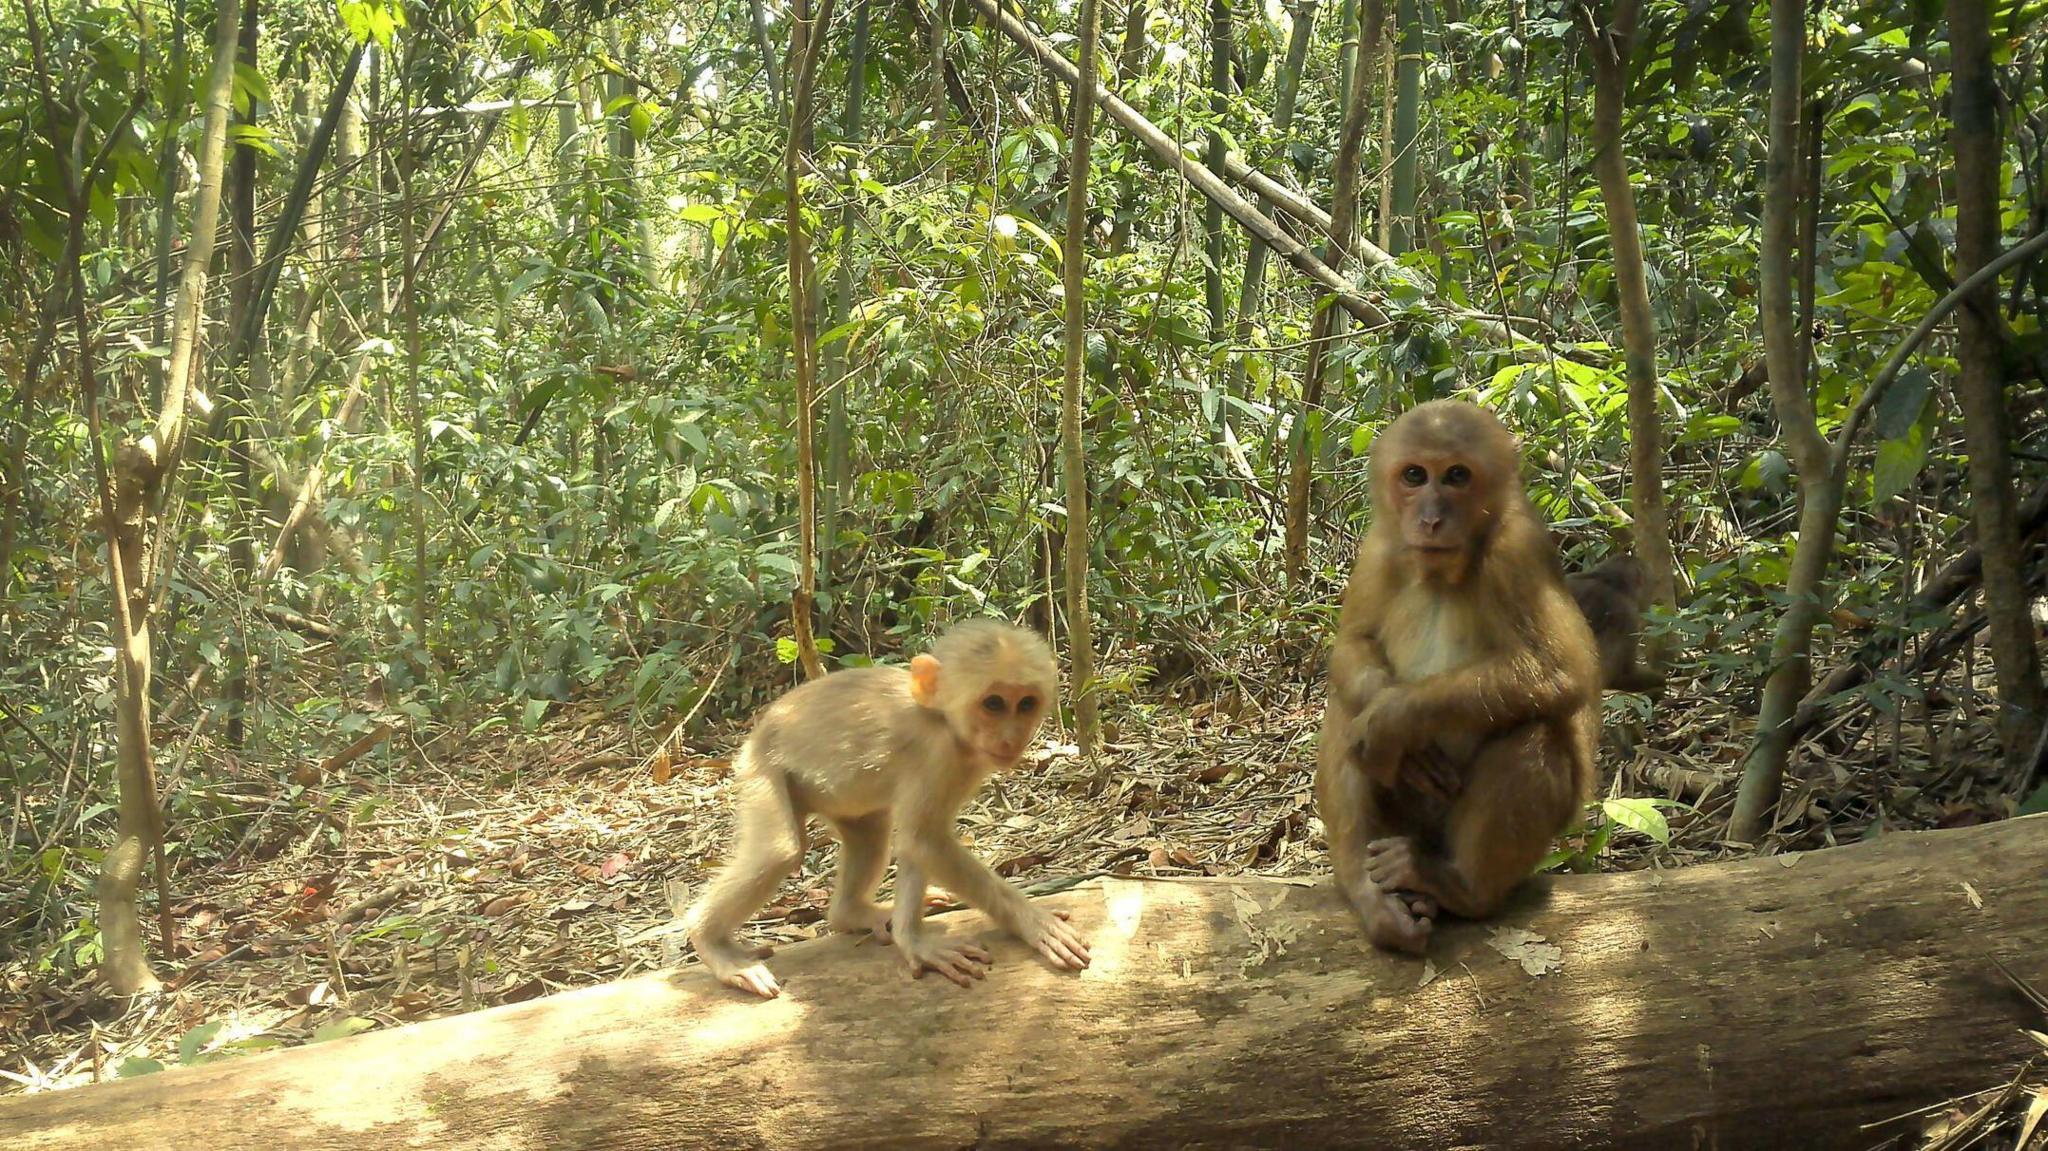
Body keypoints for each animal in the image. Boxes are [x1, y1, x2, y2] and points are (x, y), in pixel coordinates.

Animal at [682, 619, 1091, 999]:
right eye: (993, 704)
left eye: (1025, 704)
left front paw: (912, 937)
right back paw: (711, 942)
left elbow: (918, 845)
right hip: (758, 769)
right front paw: (1027, 921)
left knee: (870, 835)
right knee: (778, 850)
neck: (942, 720)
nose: (1011, 738)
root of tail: (755, 734)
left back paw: (853, 912)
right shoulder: (937, 754)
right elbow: (924, 840)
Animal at [1315, 400, 1601, 955]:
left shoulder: (1517, 552)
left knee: (1536, 728)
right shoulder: (1378, 547)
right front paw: (1394, 724)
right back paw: (1370, 892)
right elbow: (1353, 645)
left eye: (1457, 476)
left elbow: (1561, 669)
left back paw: (1457, 886)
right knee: (1344, 707)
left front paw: (1394, 718)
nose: (1429, 519)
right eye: (1414, 475)